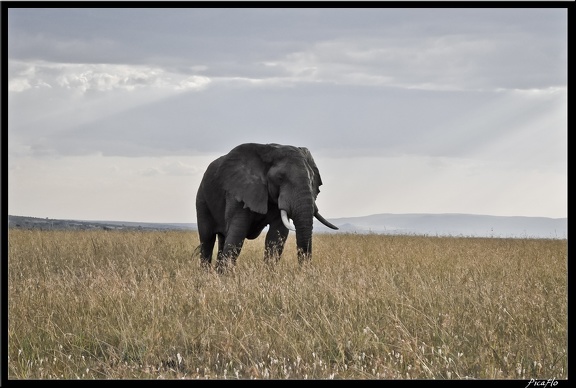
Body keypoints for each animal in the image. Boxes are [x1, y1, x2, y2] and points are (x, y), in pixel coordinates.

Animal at [196, 142, 338, 272]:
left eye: (312, 179)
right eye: (280, 178)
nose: (305, 272)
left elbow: (276, 236)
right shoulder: (239, 191)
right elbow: (237, 233)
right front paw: (224, 277)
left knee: (222, 238)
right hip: (202, 199)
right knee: (207, 239)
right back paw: (206, 274)